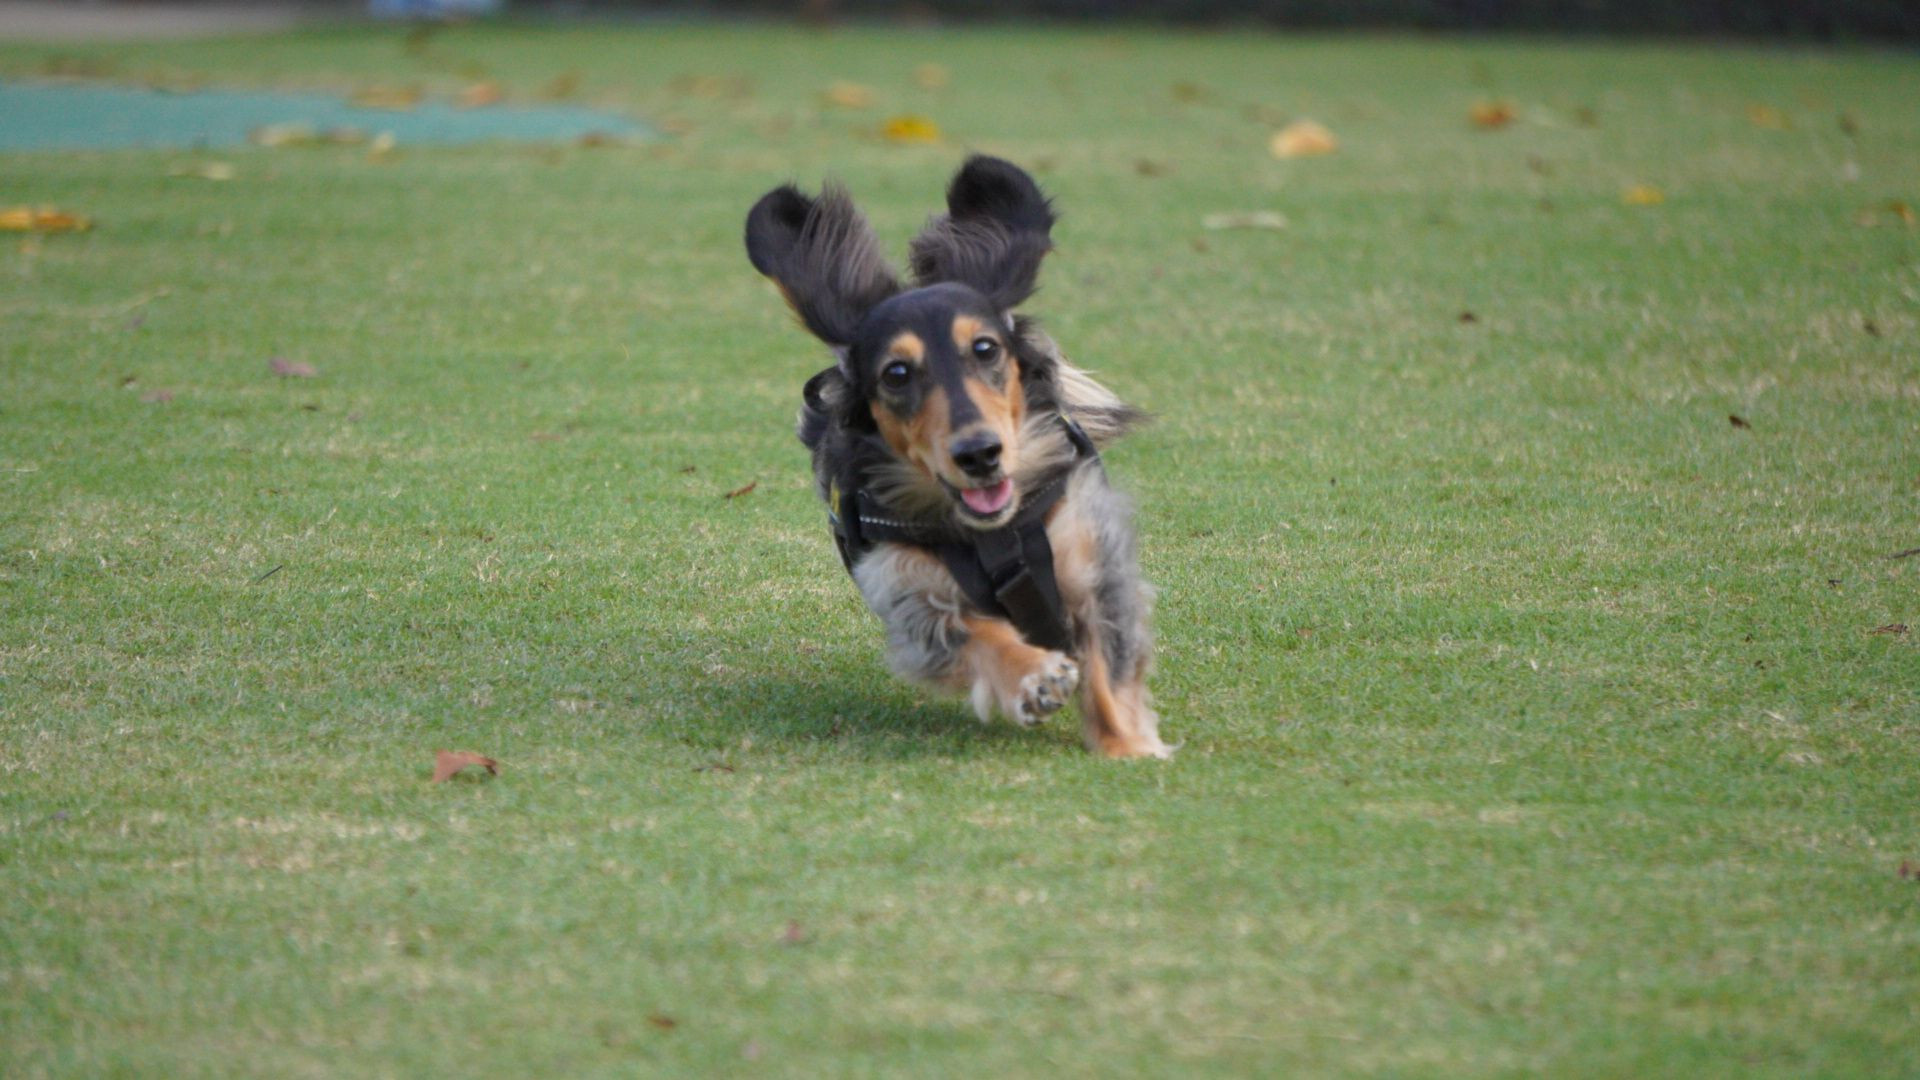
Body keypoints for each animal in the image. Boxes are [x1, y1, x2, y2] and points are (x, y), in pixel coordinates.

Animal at [744, 156, 1170, 759]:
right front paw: (1032, 677)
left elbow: (1110, 669)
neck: (988, 535)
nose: (979, 454)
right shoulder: (908, 590)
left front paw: (1128, 748)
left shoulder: (1094, 561)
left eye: (985, 348)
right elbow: (976, 635)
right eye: (896, 373)